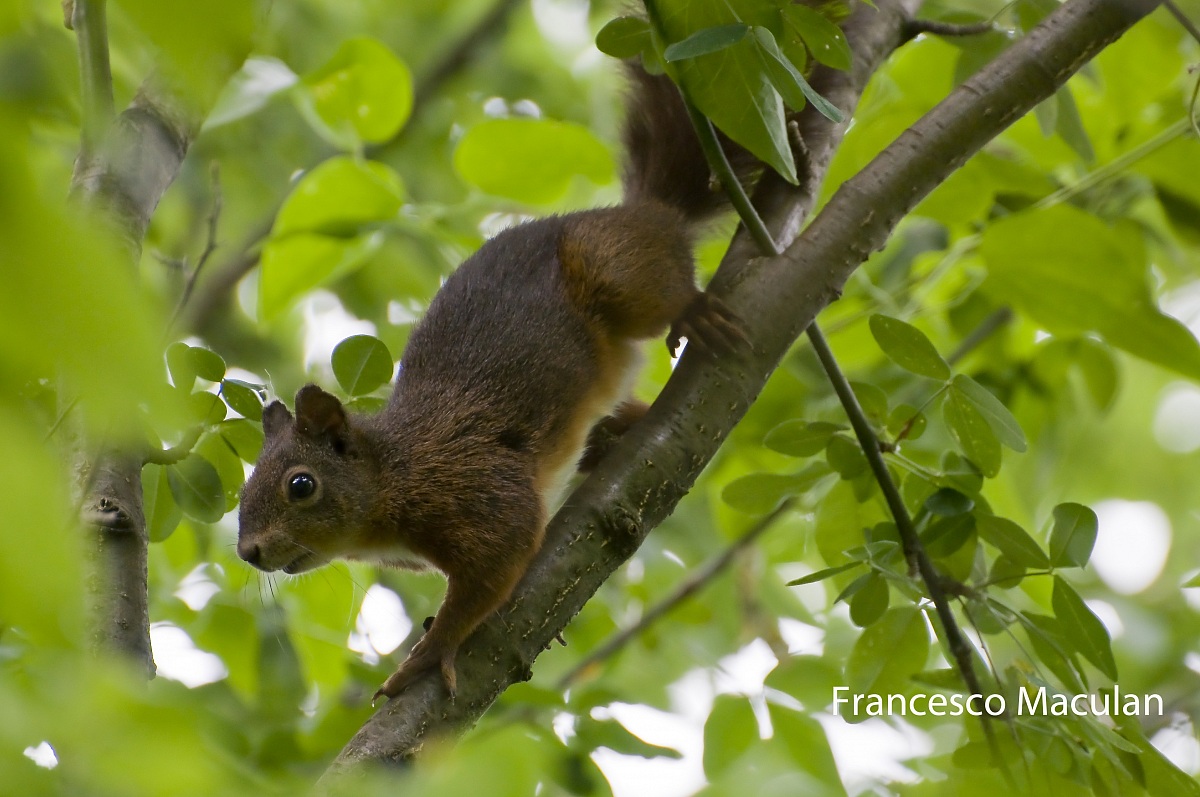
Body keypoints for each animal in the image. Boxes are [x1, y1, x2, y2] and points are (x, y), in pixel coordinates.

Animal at [236, 64, 749, 702]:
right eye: (242, 491)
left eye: (301, 485)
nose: (249, 552)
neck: (395, 471)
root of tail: (647, 213)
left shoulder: (476, 489)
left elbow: (497, 561)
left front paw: (430, 652)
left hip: (616, 272)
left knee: (659, 289)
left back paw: (694, 311)